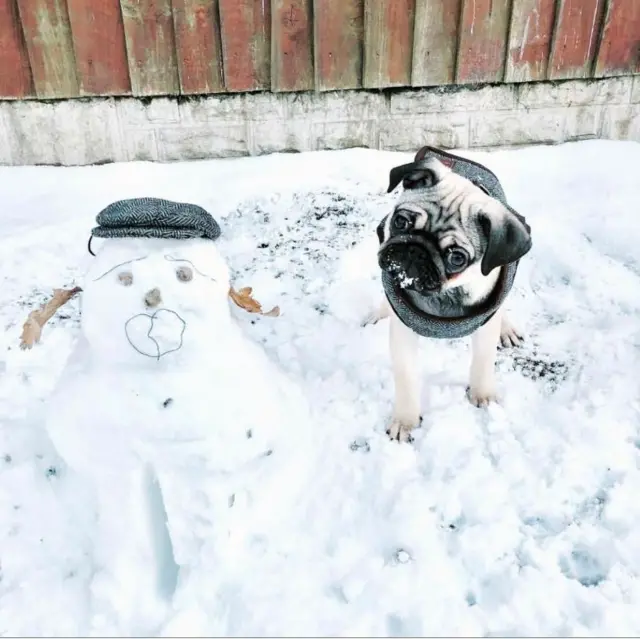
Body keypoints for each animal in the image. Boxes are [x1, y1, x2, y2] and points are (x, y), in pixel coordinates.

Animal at [368, 147, 532, 442]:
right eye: (400, 221)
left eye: (457, 258)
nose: (416, 250)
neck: (445, 296)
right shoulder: (403, 333)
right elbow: (406, 376)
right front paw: (406, 421)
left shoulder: (484, 329)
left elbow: (483, 362)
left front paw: (482, 395)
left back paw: (507, 328)